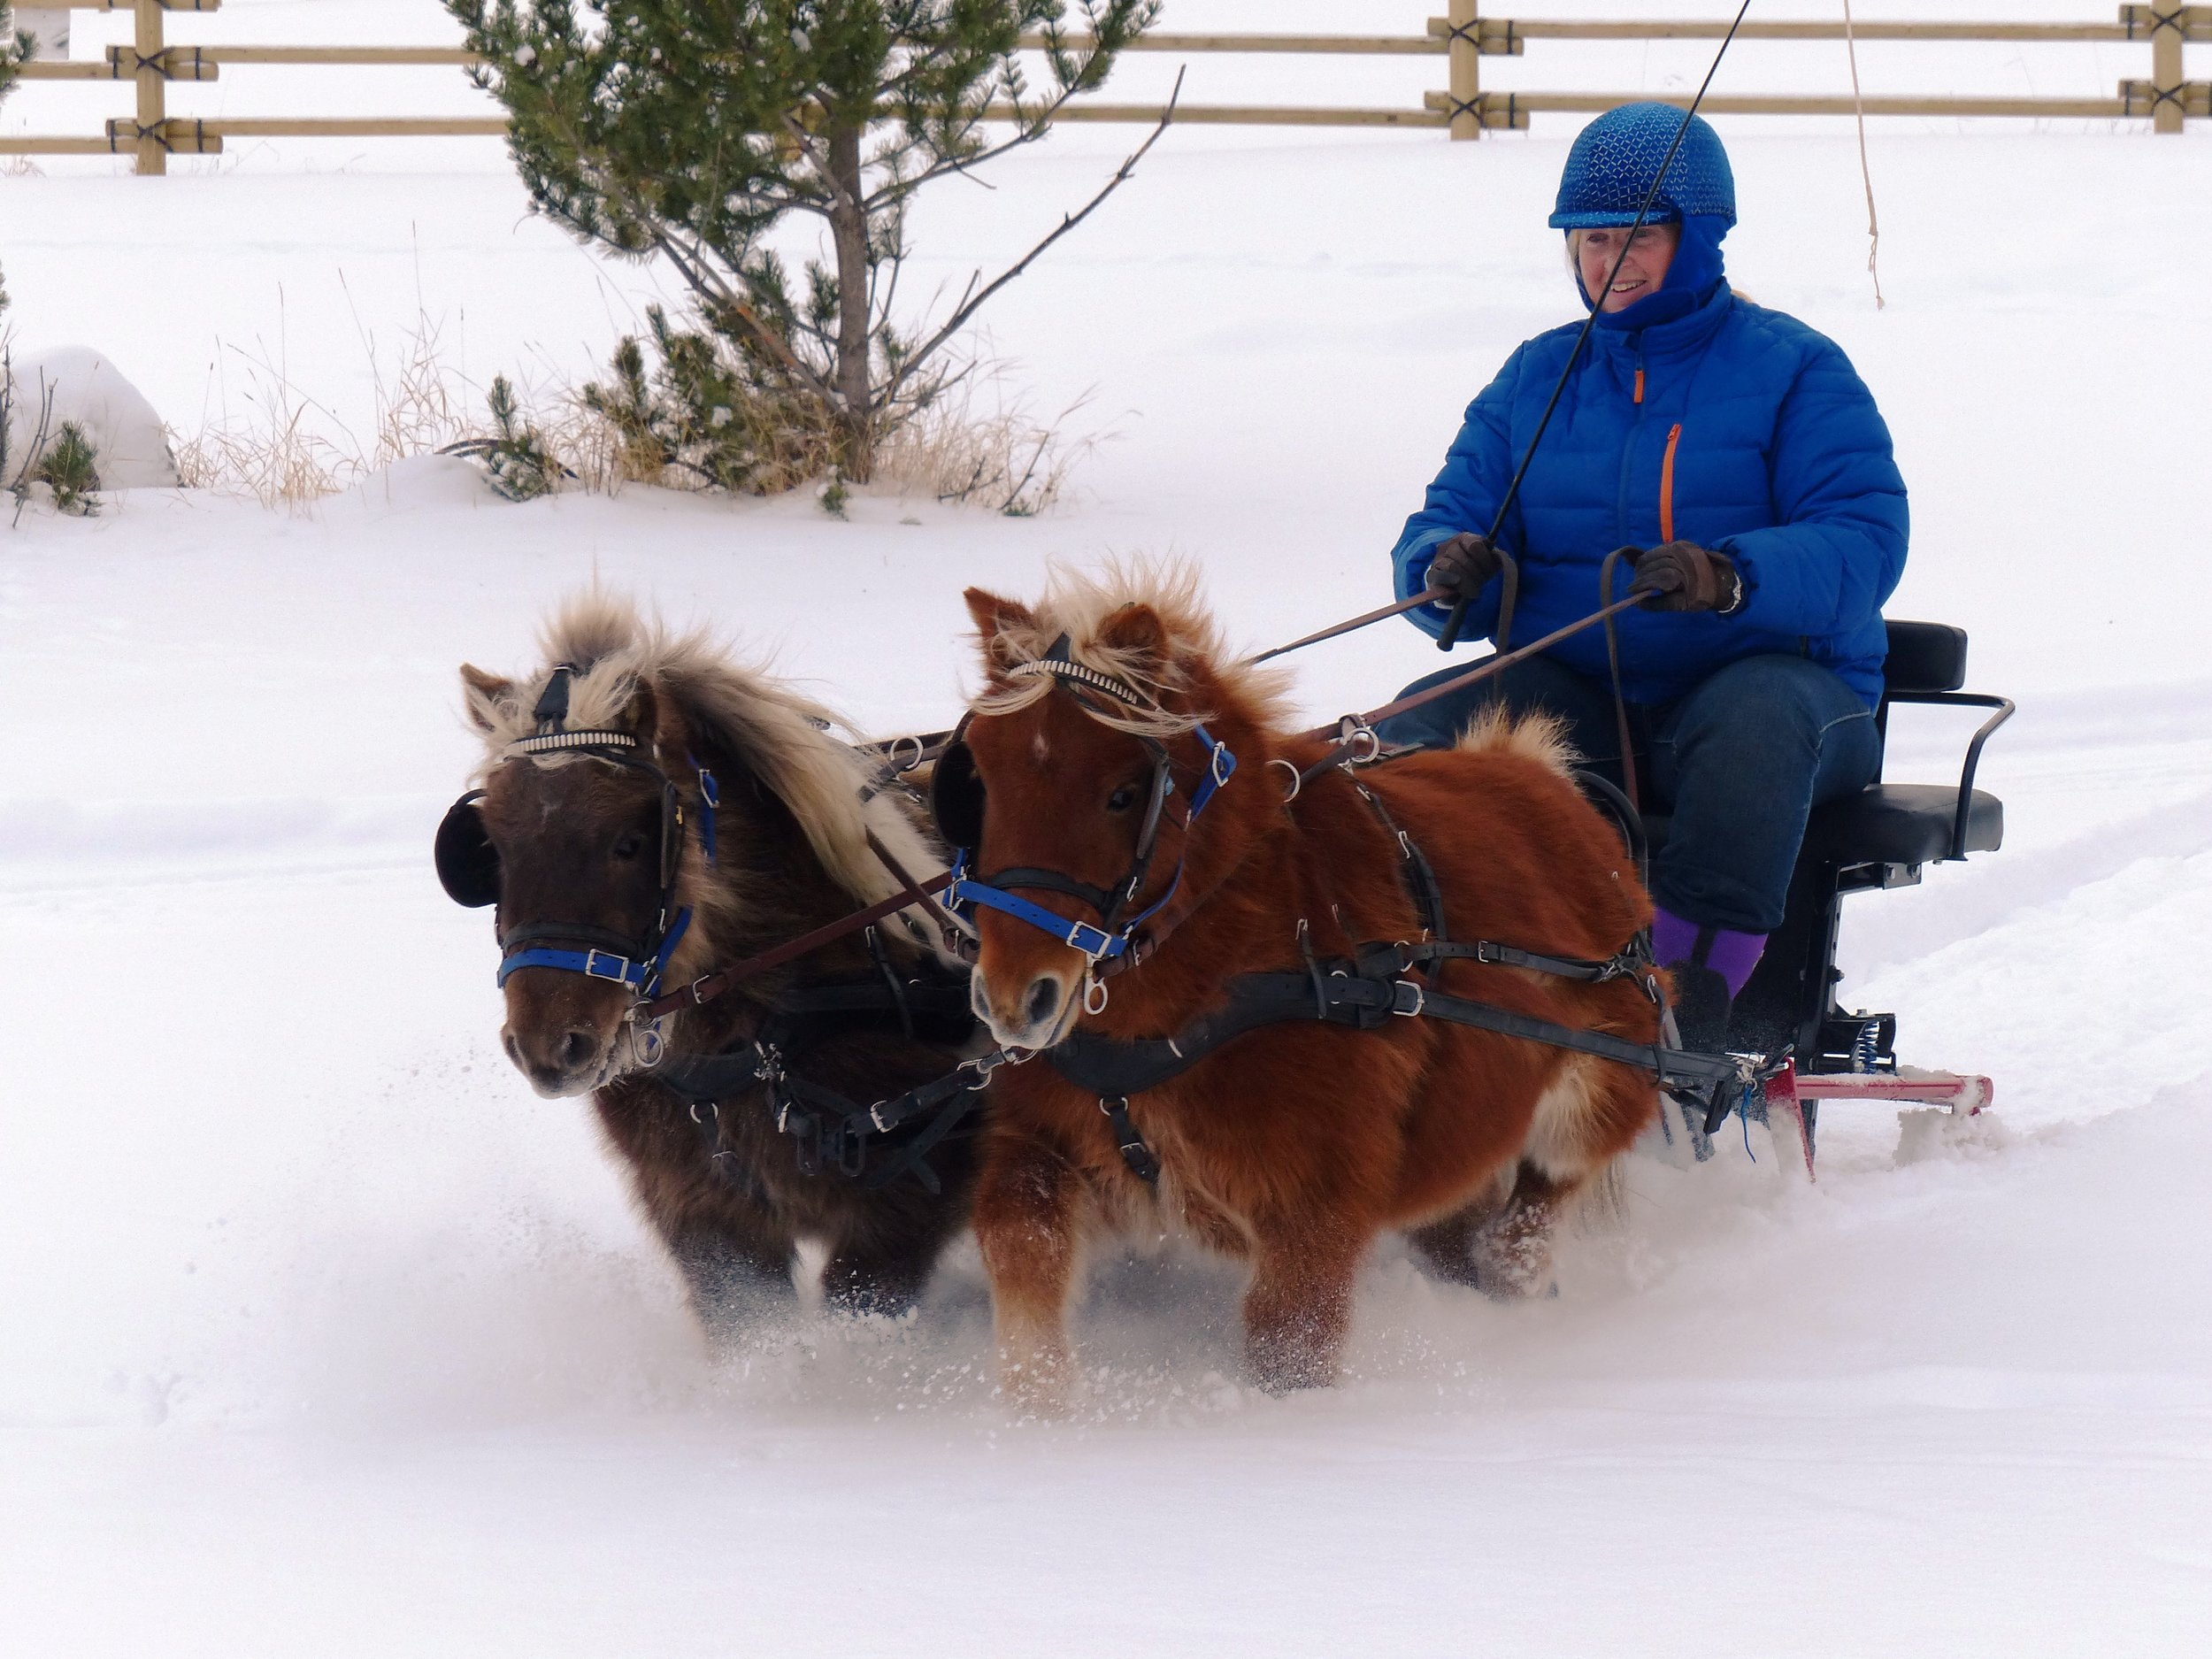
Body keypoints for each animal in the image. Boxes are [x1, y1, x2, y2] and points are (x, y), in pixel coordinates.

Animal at [951, 571, 1663, 1407]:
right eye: (980, 777)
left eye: (1124, 793)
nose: (1013, 1000)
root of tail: (1556, 790)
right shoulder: (1049, 1137)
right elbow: (1019, 1238)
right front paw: (1038, 1405)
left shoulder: (1313, 1208)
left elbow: (1287, 1343)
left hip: (1597, 1091)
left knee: (1538, 1207)